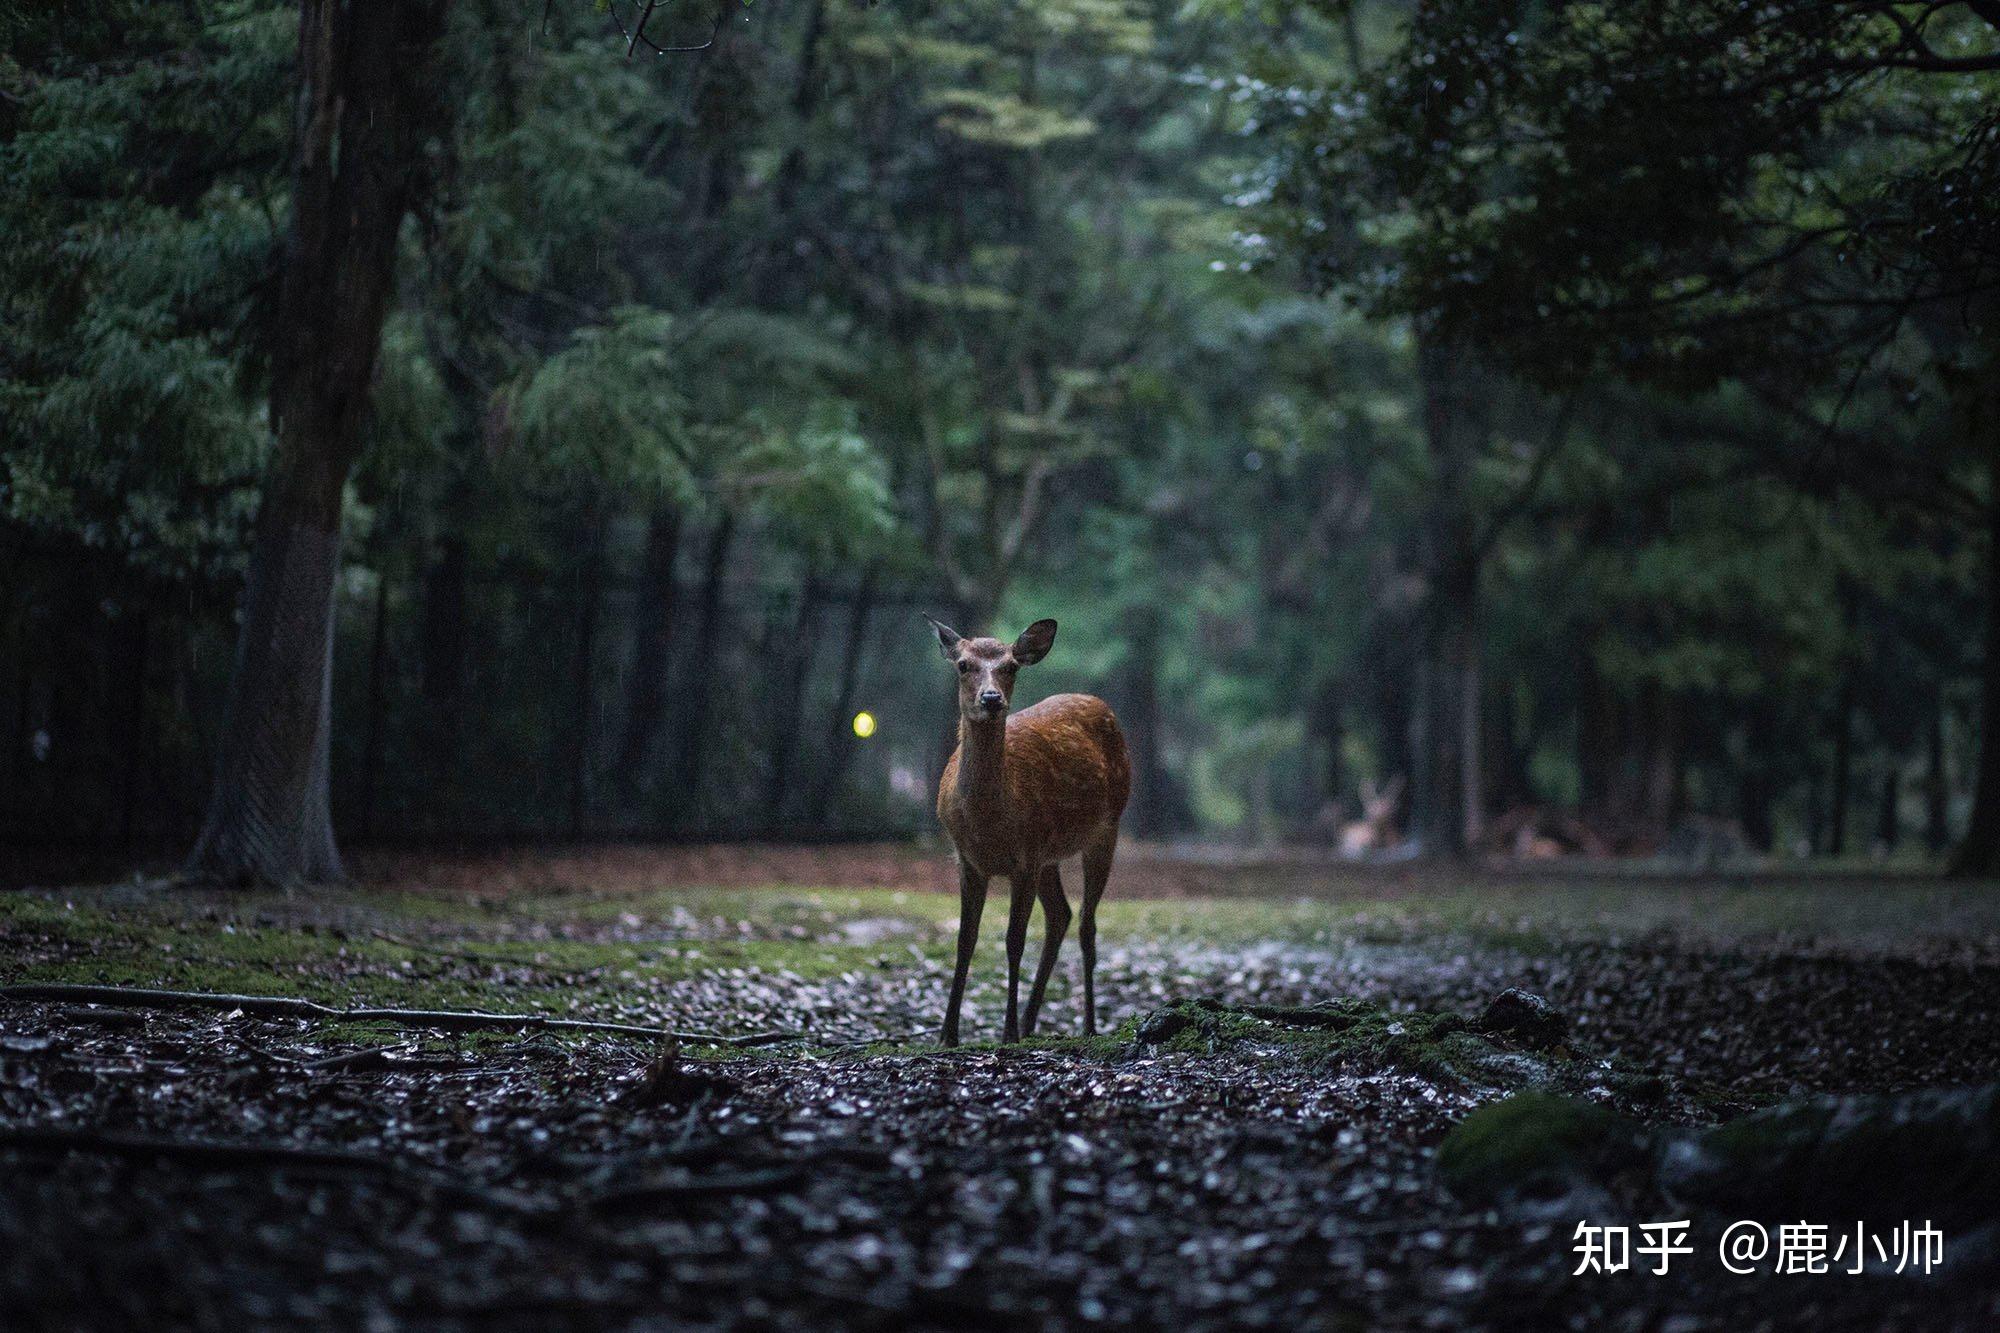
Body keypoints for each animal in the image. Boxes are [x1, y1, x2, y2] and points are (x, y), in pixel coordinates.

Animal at [920, 616, 1128, 1040]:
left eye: (1011, 666)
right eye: (963, 665)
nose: (991, 699)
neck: (989, 822)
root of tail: (1099, 702)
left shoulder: (1026, 859)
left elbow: (1014, 941)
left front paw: (1007, 1033)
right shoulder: (967, 859)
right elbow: (965, 939)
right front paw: (948, 1034)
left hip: (1106, 828)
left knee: (1087, 926)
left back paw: (1088, 1025)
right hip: (1050, 854)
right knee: (1061, 915)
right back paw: (1032, 1021)